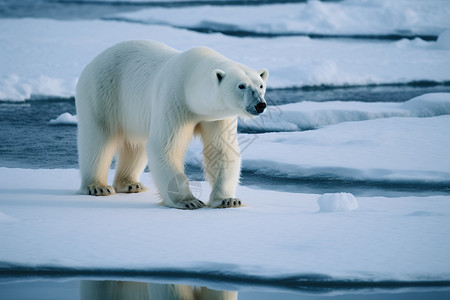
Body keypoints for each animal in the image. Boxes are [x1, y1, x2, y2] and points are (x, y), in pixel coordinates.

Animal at [75, 39, 268, 209]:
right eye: (241, 86)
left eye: (260, 85)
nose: (260, 104)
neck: (191, 81)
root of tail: (96, 59)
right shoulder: (173, 99)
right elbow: (166, 146)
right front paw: (188, 201)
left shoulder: (217, 117)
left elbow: (222, 149)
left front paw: (228, 200)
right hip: (102, 91)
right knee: (98, 139)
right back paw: (98, 187)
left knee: (136, 145)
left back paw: (130, 184)